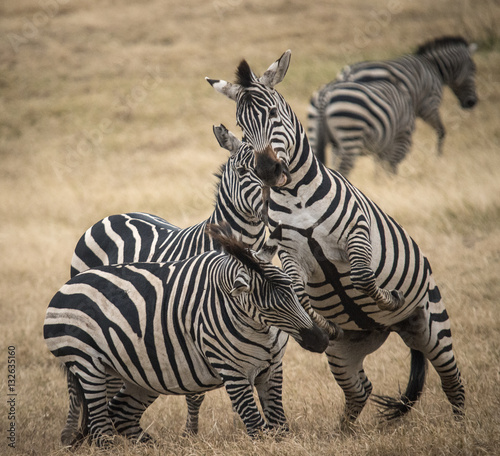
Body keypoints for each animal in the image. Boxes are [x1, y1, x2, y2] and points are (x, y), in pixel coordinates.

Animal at [44, 223, 332, 448]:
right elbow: (257, 428)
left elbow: (281, 427)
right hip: (87, 364)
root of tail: (67, 285)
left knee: (121, 413)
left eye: (293, 290)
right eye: (266, 307)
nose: (320, 340)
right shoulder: (233, 372)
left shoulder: (272, 369)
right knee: (101, 428)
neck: (261, 330)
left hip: (140, 374)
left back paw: (155, 448)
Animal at [206, 51, 464, 430]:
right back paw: (343, 433)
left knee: (451, 379)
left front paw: (389, 298)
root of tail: (396, 330)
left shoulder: (356, 230)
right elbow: (299, 292)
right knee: (360, 390)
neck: (296, 197)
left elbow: (362, 276)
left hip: (433, 325)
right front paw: (323, 324)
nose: (267, 171)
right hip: (345, 355)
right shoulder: (290, 252)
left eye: (273, 113)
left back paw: (460, 425)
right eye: (241, 125)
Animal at [306, 34, 478, 175]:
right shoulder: (429, 104)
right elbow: (441, 130)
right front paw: (438, 156)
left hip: (317, 132)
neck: (434, 66)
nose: (472, 103)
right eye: (474, 70)